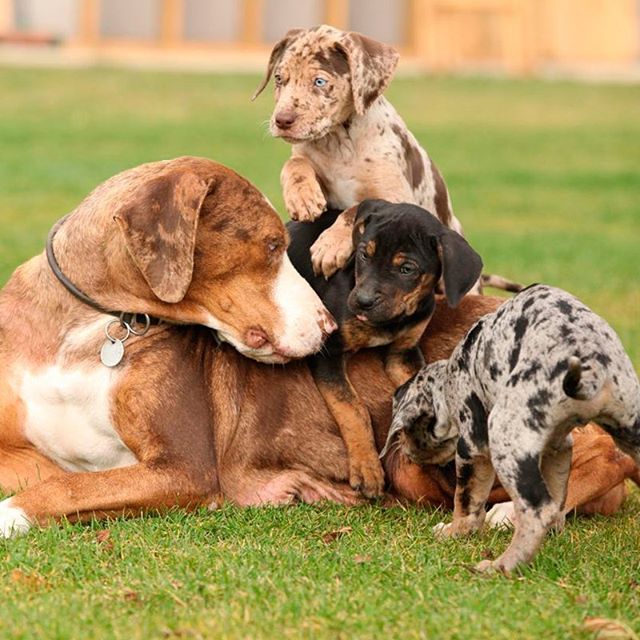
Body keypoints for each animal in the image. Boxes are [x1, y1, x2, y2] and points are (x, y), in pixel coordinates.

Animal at [0, 156, 338, 536]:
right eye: (273, 245)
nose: (329, 326)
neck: (87, 323)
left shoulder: (184, 467)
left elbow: (68, 486)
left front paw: (7, 513)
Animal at [288, 198, 482, 498]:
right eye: (363, 255)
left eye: (407, 269)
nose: (362, 301)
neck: (391, 321)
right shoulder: (328, 353)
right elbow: (353, 408)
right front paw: (366, 467)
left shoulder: (403, 353)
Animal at [384, 284, 640, 576]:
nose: (405, 453)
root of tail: (591, 368)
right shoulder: (559, 448)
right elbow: (558, 497)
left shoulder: (473, 448)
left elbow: (467, 502)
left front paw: (454, 532)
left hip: (503, 440)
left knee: (537, 510)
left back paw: (501, 566)